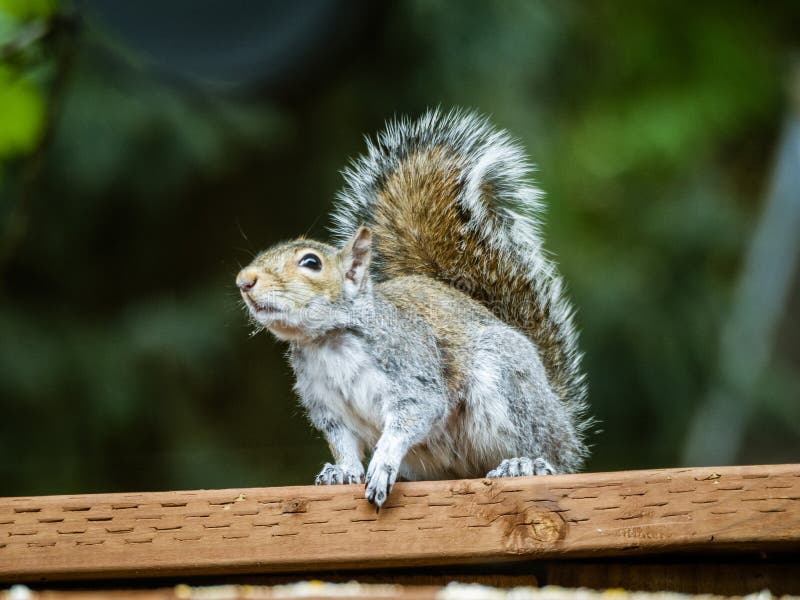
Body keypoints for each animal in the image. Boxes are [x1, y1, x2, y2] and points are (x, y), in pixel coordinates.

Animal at [236, 109, 590, 508]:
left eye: (311, 262)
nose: (244, 280)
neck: (330, 343)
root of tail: (560, 415)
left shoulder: (413, 371)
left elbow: (411, 416)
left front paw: (383, 464)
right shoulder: (327, 408)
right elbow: (343, 444)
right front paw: (342, 471)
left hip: (507, 384)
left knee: (548, 452)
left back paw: (526, 464)